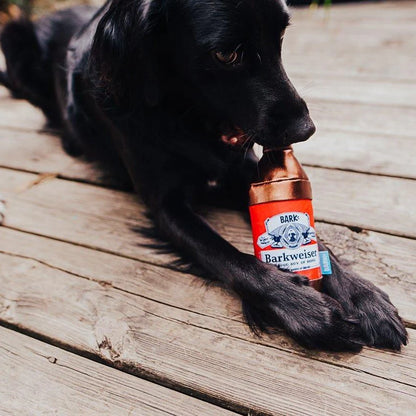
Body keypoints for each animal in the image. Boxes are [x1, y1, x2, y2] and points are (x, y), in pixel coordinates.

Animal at [1, 0, 408, 352]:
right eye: (226, 55)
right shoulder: (165, 207)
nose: (305, 129)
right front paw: (308, 310)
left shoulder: (246, 175)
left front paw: (363, 297)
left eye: (280, 36)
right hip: (14, 35)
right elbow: (229, 257)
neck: (188, 115)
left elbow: (316, 236)